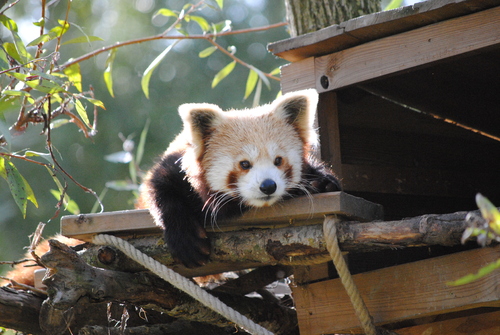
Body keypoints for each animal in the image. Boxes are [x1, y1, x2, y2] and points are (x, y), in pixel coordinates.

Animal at [139, 89, 340, 268]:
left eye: (278, 160)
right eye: (244, 164)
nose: (268, 186)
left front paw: (322, 183)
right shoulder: (175, 167)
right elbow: (159, 187)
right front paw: (185, 239)